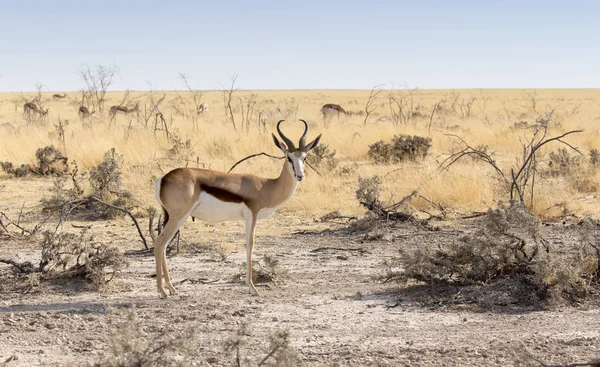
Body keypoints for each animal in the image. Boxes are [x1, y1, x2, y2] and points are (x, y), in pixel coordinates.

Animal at [155, 121, 322, 300]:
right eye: (289, 158)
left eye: (304, 157)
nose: (300, 176)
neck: (267, 186)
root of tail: (163, 178)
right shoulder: (252, 215)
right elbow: (250, 245)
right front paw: (253, 288)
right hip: (178, 217)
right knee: (159, 243)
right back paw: (162, 291)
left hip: (174, 217)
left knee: (164, 244)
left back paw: (171, 288)